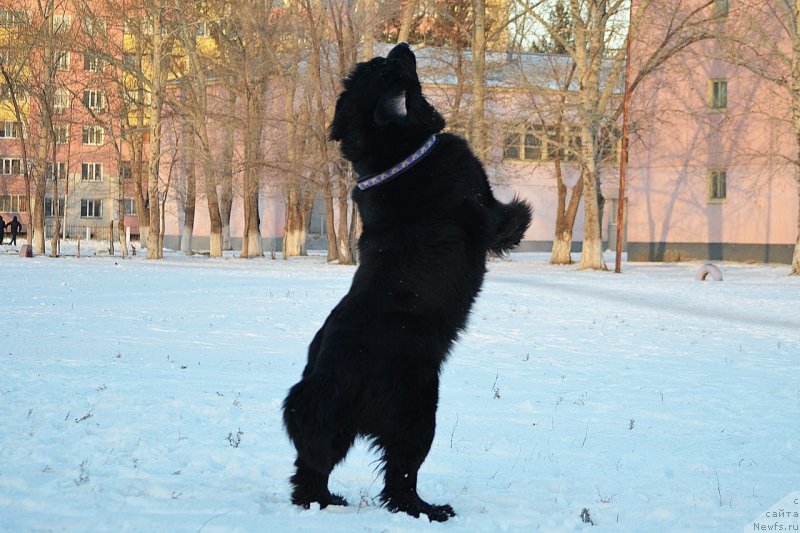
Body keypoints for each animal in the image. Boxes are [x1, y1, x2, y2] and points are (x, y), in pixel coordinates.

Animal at [282, 40, 532, 520]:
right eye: (386, 67)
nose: (400, 45)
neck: (395, 159)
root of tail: (329, 376)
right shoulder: (484, 210)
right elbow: (506, 221)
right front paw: (524, 213)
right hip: (418, 411)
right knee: (399, 479)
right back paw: (431, 510)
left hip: (335, 426)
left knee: (311, 467)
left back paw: (324, 501)